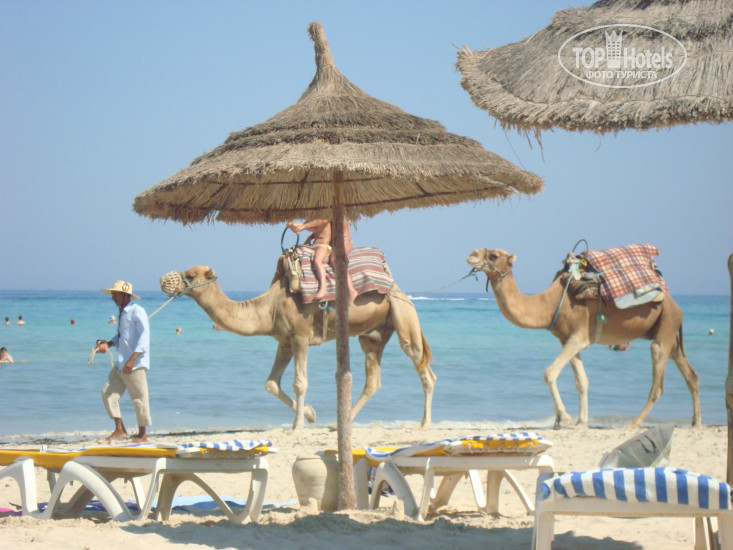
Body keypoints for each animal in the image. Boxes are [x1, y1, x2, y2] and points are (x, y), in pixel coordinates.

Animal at [161, 262, 435, 430]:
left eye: (191, 275)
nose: (164, 279)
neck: (268, 307)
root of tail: (402, 293)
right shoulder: (284, 340)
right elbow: (271, 383)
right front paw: (311, 414)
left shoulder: (301, 336)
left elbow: (299, 383)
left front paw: (296, 427)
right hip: (373, 335)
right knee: (373, 379)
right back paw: (341, 422)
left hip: (404, 318)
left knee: (423, 369)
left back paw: (424, 424)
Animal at [466, 248, 701, 429]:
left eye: (494, 255)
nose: (471, 254)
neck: (549, 305)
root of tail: (677, 306)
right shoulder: (567, 339)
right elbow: (582, 381)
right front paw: (581, 421)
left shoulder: (579, 336)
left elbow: (549, 373)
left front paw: (563, 419)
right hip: (667, 332)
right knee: (691, 375)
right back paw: (696, 422)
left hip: (665, 328)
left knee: (658, 381)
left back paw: (635, 423)